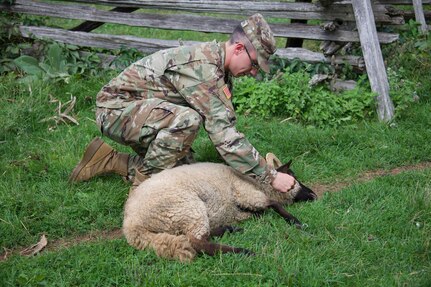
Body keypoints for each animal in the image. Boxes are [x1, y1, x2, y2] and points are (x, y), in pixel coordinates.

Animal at [123, 154, 316, 262]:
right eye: (293, 177)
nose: (314, 194)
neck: (255, 182)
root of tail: (131, 227)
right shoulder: (243, 191)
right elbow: (272, 203)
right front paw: (296, 222)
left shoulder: (237, 209)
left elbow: (259, 212)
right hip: (187, 207)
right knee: (197, 242)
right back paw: (241, 251)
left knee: (200, 236)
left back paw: (228, 229)